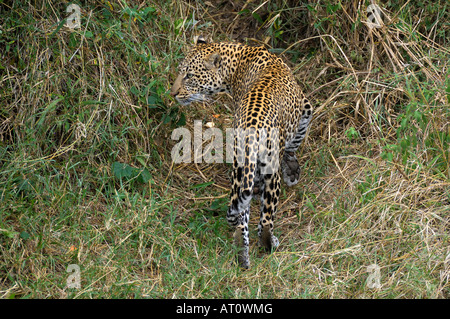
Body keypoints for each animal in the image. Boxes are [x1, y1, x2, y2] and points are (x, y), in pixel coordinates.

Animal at [170, 36, 312, 268]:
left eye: (189, 75)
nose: (173, 93)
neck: (236, 63)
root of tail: (251, 129)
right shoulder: (305, 105)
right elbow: (296, 140)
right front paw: (292, 170)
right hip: (270, 170)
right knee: (265, 219)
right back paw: (269, 243)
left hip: (239, 169)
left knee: (240, 217)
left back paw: (242, 254)